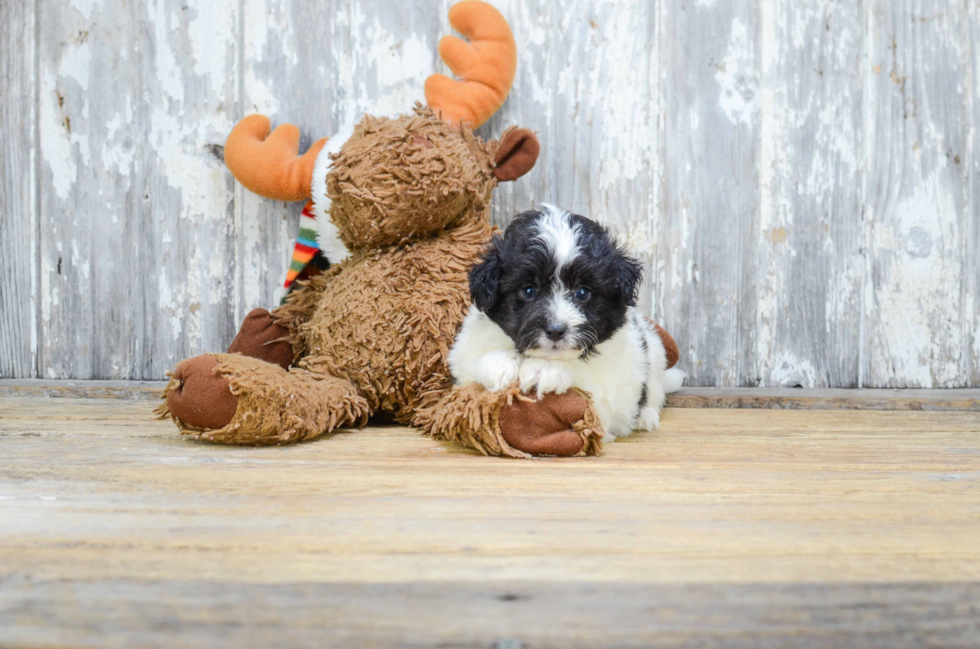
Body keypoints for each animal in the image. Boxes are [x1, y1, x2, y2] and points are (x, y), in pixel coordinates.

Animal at [450, 206, 684, 440]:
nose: (555, 330)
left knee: (654, 393)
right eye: (529, 290)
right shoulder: (463, 352)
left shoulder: (610, 387)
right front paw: (500, 363)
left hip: (655, 353)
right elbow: (472, 364)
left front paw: (545, 370)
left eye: (582, 292)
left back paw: (646, 417)